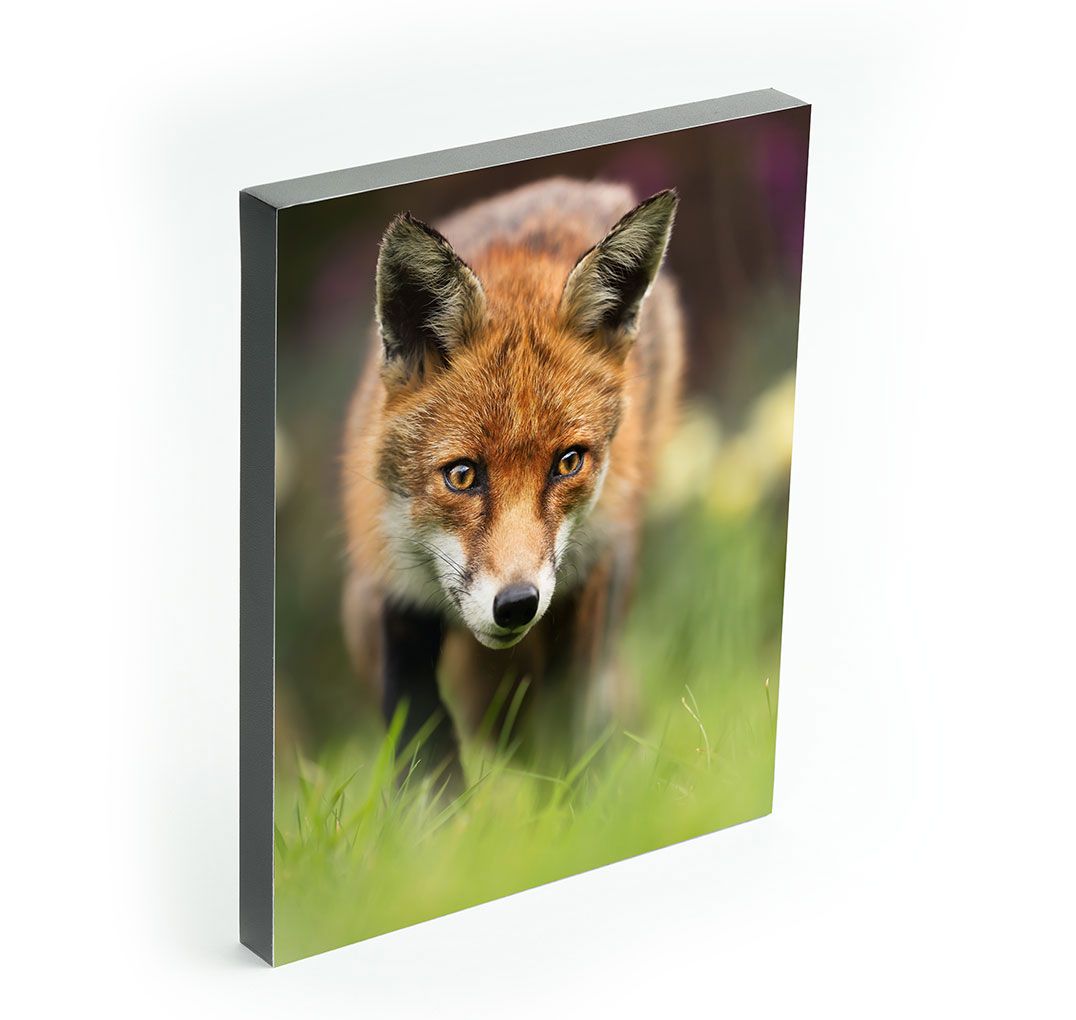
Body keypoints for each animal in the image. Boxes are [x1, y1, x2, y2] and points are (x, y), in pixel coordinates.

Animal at [341, 176, 683, 788]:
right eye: (462, 475)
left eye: (568, 463)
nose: (518, 604)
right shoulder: (388, 598)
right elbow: (425, 753)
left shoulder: (593, 578)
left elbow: (571, 721)